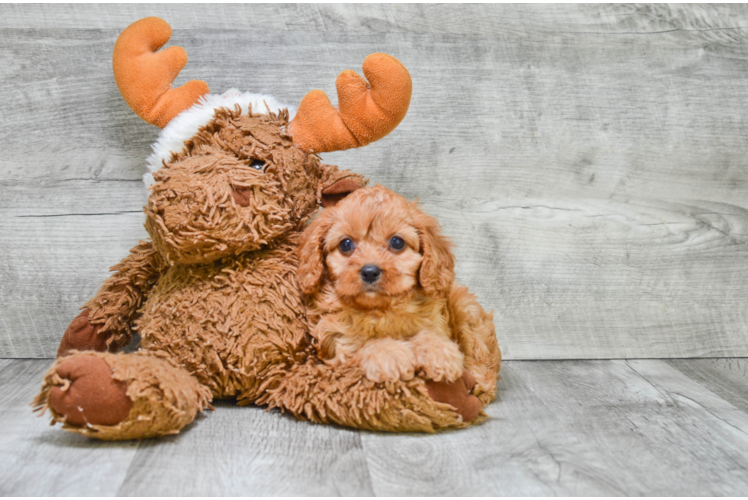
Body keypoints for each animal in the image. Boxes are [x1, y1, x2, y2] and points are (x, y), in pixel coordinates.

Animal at [298, 186, 474, 384]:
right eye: (346, 244)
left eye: (397, 242)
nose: (369, 271)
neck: (380, 310)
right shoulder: (334, 339)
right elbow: (360, 342)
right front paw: (389, 353)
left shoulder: (436, 321)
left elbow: (430, 333)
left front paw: (439, 351)